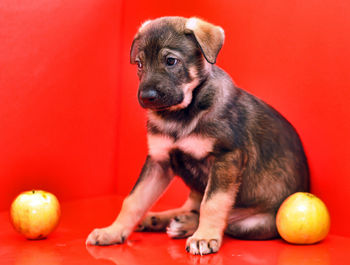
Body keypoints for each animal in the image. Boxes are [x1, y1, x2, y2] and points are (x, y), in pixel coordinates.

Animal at [85, 16, 308, 254]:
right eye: (139, 64)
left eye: (171, 61)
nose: (146, 97)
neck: (180, 115)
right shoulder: (158, 161)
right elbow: (133, 200)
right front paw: (113, 231)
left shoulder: (226, 158)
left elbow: (213, 203)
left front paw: (205, 237)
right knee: (192, 207)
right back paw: (159, 219)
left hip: (253, 223)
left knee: (227, 218)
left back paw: (185, 226)